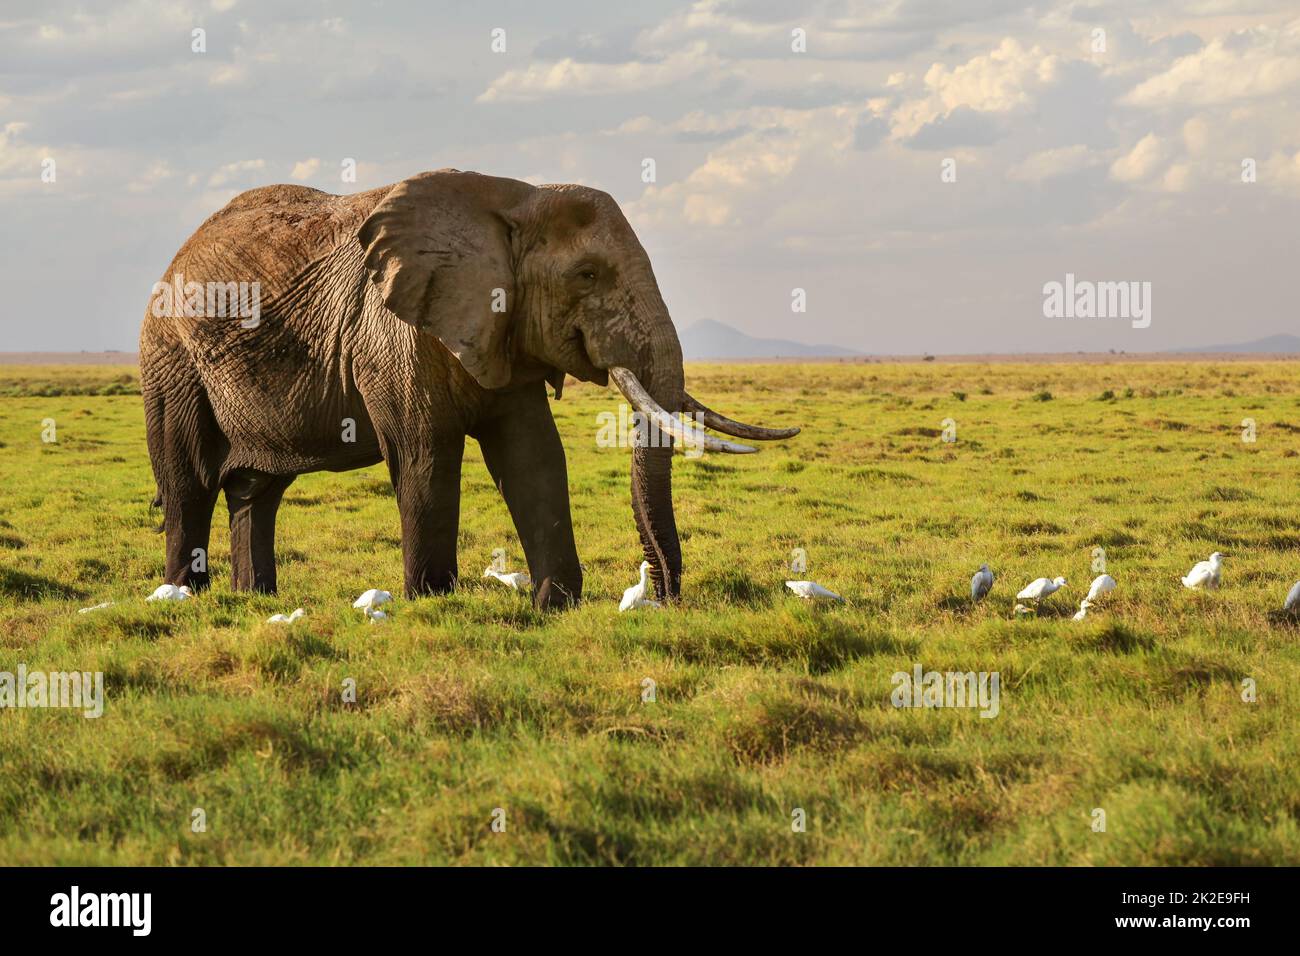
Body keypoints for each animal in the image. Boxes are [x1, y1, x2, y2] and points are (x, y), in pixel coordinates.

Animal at [137, 167, 795, 608]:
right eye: (587, 275)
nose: (660, 598)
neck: (514, 196)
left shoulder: (502, 330)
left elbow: (534, 457)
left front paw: (554, 606)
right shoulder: (394, 333)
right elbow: (426, 456)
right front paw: (432, 604)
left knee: (258, 493)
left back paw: (257, 601)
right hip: (171, 362)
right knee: (190, 485)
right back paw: (184, 599)